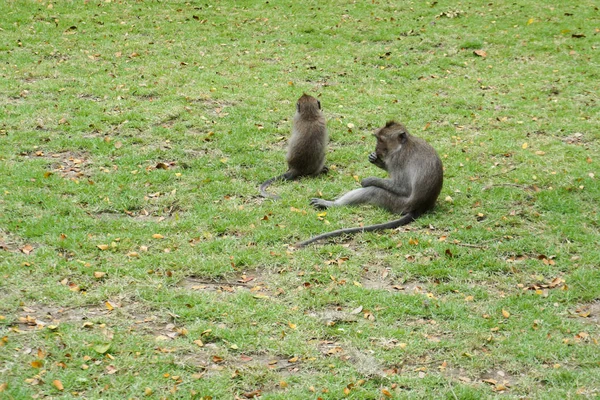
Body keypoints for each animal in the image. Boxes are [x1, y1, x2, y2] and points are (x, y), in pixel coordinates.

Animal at [296, 120, 440, 248]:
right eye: (377, 139)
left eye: (381, 140)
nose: (377, 149)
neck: (402, 145)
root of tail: (420, 207)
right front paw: (376, 160)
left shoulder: (398, 159)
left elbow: (403, 188)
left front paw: (368, 180)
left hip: (397, 203)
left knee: (373, 191)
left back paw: (331, 204)